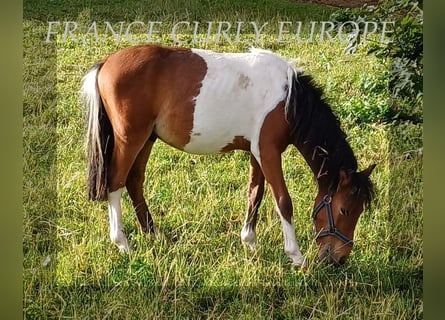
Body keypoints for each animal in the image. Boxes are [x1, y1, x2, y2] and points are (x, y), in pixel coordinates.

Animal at [81, 43, 372, 266]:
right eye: (345, 209)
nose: (338, 259)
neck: (288, 99)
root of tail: (106, 63)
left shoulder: (258, 153)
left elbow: (255, 194)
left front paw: (250, 242)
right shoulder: (269, 153)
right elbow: (283, 201)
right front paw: (296, 257)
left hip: (147, 139)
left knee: (134, 182)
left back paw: (153, 235)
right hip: (130, 140)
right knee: (116, 183)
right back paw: (122, 243)